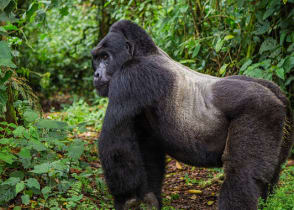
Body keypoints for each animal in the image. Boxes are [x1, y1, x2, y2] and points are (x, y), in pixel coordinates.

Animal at [91, 20, 294, 210]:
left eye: (105, 57)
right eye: (96, 58)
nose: (96, 75)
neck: (143, 53)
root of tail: (279, 97)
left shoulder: (131, 76)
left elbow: (115, 144)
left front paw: (127, 200)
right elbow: (148, 150)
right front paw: (150, 199)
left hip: (262, 110)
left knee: (242, 174)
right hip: (283, 114)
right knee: (272, 171)